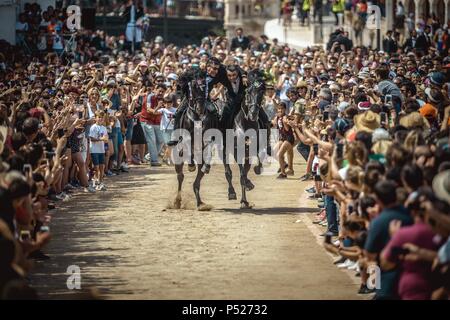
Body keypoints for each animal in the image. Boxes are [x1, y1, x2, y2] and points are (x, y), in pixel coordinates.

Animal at [173, 70, 219, 210]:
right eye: (193, 87)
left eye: (205, 87)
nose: (200, 108)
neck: (197, 117)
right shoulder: (187, 139)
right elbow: (188, 147)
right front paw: (191, 165)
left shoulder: (207, 139)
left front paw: (205, 166)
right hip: (178, 160)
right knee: (180, 177)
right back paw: (177, 201)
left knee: (197, 182)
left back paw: (201, 203)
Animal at [222, 69, 268, 209]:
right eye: (248, 91)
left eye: (262, 92)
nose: (253, 114)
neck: (246, 123)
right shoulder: (238, 151)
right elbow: (242, 173)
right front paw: (243, 199)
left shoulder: (251, 151)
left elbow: (248, 169)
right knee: (228, 171)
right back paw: (231, 192)